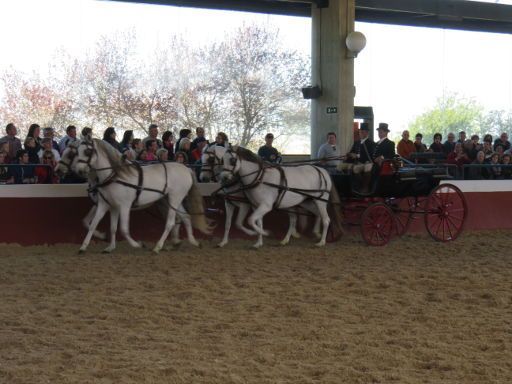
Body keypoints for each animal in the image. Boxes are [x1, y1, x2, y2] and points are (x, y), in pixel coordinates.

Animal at [71, 140, 211, 254]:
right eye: (76, 151)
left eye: (87, 151)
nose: (79, 171)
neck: (115, 176)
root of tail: (186, 169)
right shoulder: (108, 205)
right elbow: (101, 225)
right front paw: (90, 247)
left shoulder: (124, 206)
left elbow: (123, 229)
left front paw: (137, 244)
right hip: (173, 200)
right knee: (186, 217)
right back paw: (192, 242)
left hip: (175, 198)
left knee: (171, 222)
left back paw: (158, 247)